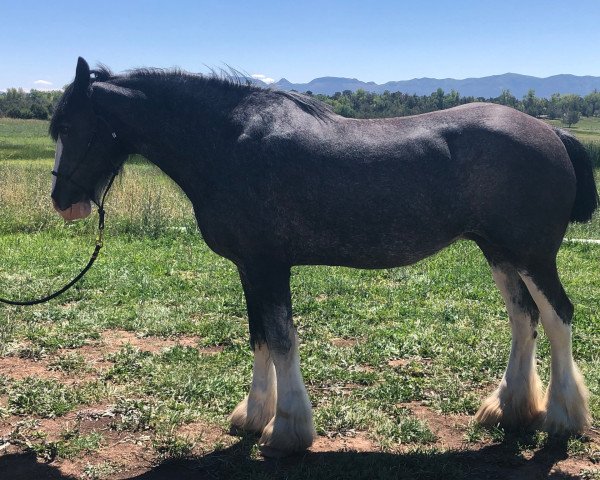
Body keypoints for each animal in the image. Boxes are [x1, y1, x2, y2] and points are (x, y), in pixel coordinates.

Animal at [50, 57, 596, 458]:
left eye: (71, 125)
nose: (62, 201)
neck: (228, 143)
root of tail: (553, 134)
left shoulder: (268, 266)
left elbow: (281, 340)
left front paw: (287, 429)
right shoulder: (250, 268)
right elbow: (259, 339)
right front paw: (254, 416)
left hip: (533, 256)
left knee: (558, 318)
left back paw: (564, 418)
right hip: (500, 252)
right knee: (523, 319)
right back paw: (509, 409)